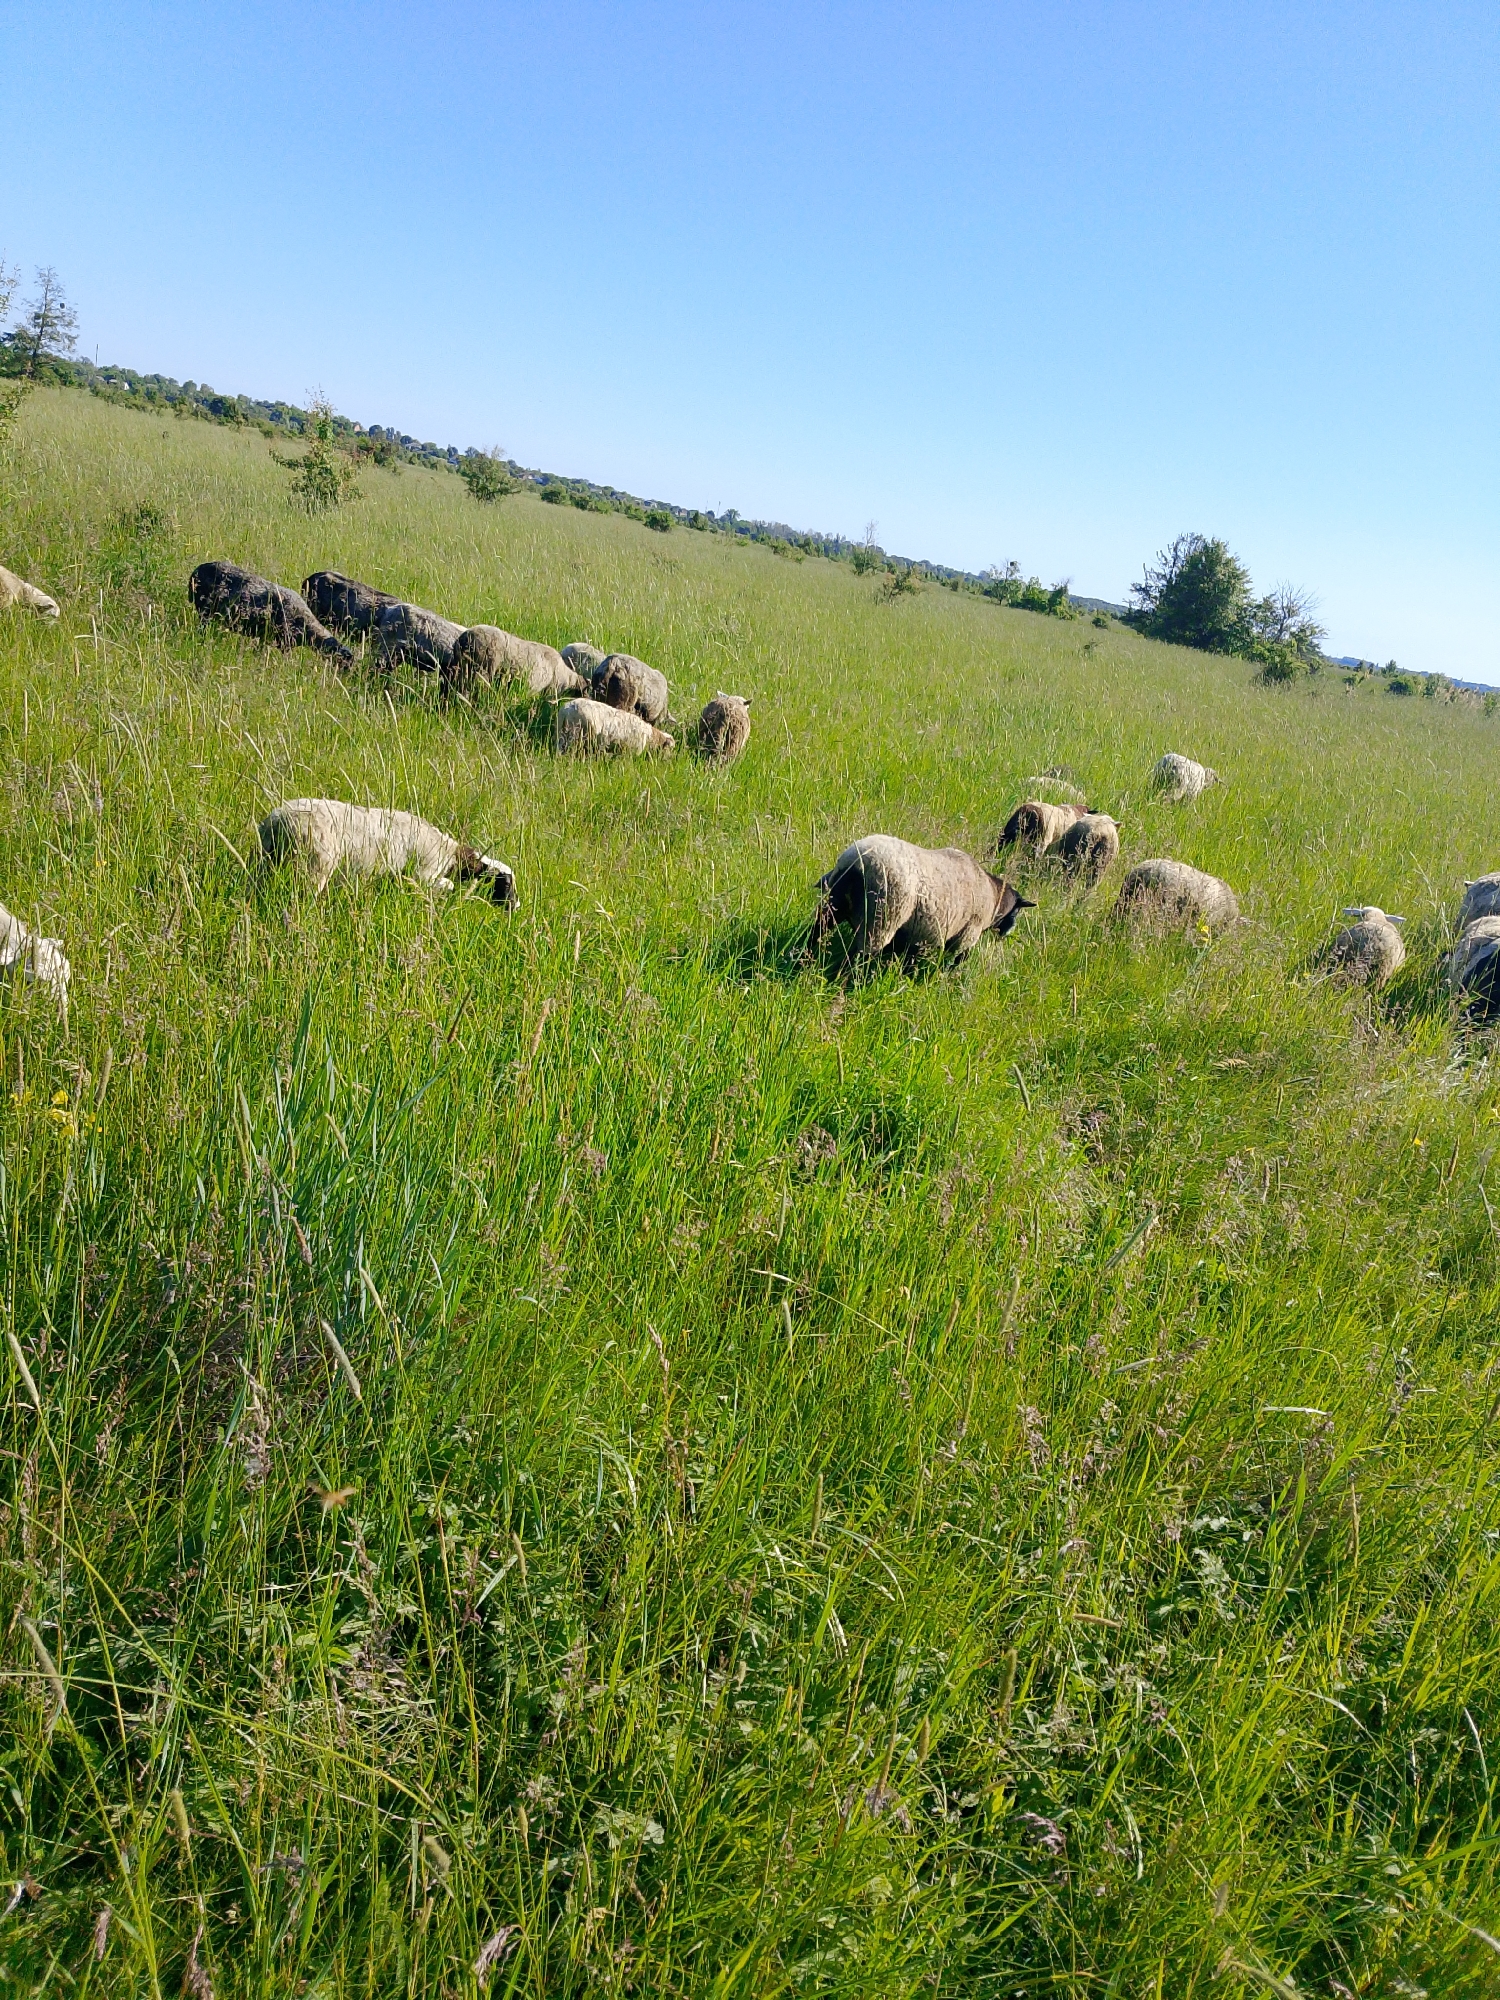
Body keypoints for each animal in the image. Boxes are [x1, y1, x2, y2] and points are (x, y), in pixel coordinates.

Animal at [258, 800, 518, 904]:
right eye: (506, 884)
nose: (515, 907)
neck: (450, 853)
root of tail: (278, 819)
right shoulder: (422, 875)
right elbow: (447, 885)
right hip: (313, 866)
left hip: (266, 861)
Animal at [815, 835, 1035, 964]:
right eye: (1017, 911)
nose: (1007, 932)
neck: (993, 896)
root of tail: (858, 860)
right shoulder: (966, 938)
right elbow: (954, 964)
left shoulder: (916, 941)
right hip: (881, 919)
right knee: (858, 958)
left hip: (835, 905)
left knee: (815, 932)